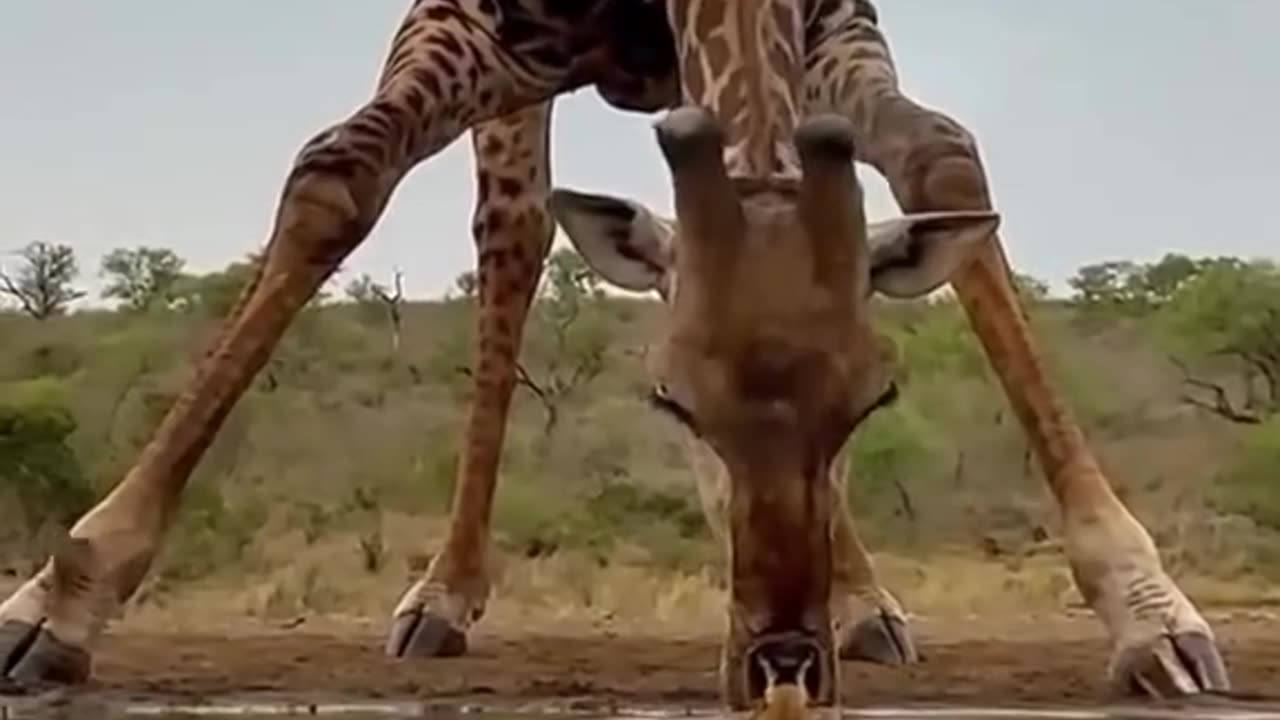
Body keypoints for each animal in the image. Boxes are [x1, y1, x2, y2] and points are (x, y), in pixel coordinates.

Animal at [0, 0, 1229, 707]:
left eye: (874, 403)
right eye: (668, 401)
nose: (782, 665)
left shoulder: (831, 20)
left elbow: (942, 159)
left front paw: (1151, 612)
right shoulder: (471, 16)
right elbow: (334, 179)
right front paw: (60, 600)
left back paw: (862, 601)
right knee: (512, 235)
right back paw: (443, 595)